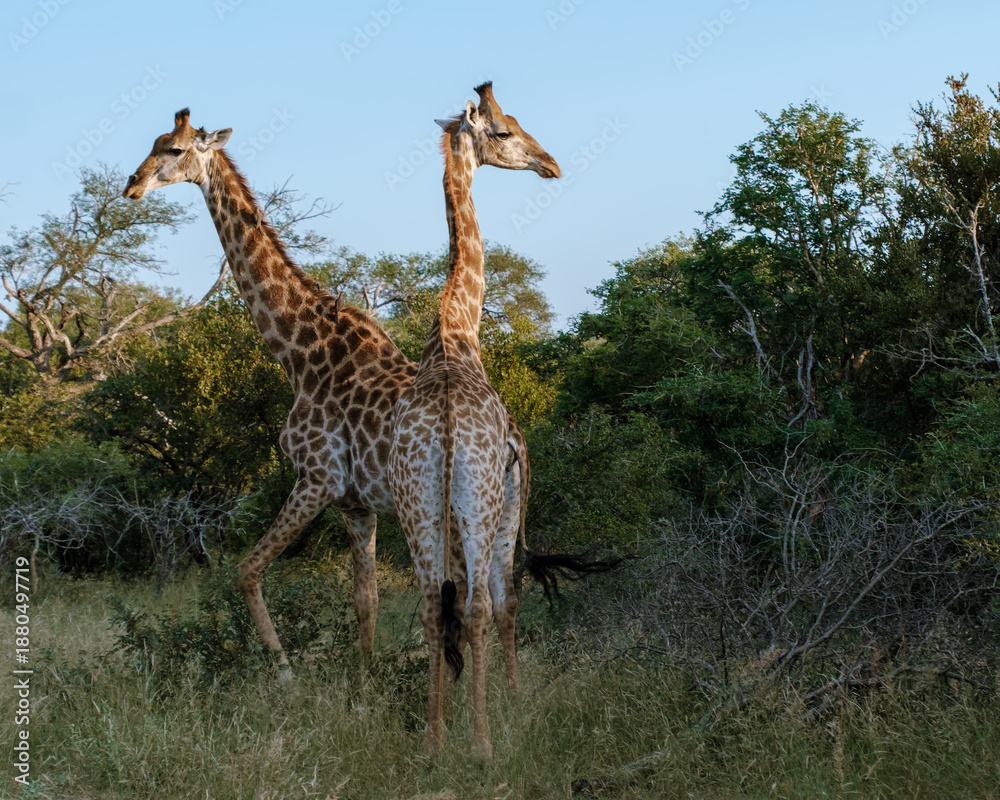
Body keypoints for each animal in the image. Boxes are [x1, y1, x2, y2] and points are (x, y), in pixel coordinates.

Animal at [121, 108, 535, 681]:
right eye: (155, 143)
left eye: (176, 150)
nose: (132, 184)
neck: (299, 353)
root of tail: (512, 435)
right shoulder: (355, 505)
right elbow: (366, 599)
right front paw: (364, 684)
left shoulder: (317, 478)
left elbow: (245, 571)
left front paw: (287, 675)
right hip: (496, 508)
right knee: (499, 597)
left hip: (450, 510)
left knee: (467, 598)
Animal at [389, 82, 560, 758]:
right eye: (506, 130)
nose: (550, 163)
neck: (457, 331)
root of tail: (444, 430)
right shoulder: (512, 490)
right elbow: (504, 602)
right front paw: (508, 709)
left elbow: (451, 611)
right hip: (479, 500)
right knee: (486, 604)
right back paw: (484, 743)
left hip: (417, 506)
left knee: (434, 607)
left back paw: (435, 743)